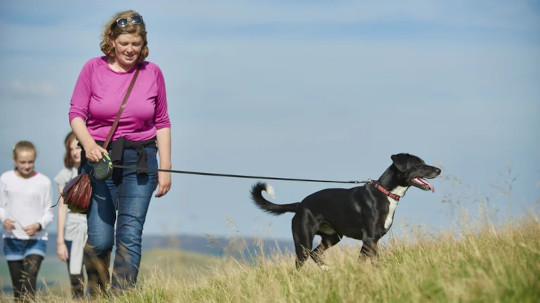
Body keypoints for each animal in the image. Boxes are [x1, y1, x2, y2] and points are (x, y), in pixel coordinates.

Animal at [251, 154, 440, 268]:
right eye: (419, 164)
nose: (439, 170)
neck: (385, 193)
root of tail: (300, 204)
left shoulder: (369, 241)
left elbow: (362, 261)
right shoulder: (370, 238)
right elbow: (376, 262)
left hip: (332, 237)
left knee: (315, 253)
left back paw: (326, 268)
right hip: (303, 240)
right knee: (301, 261)